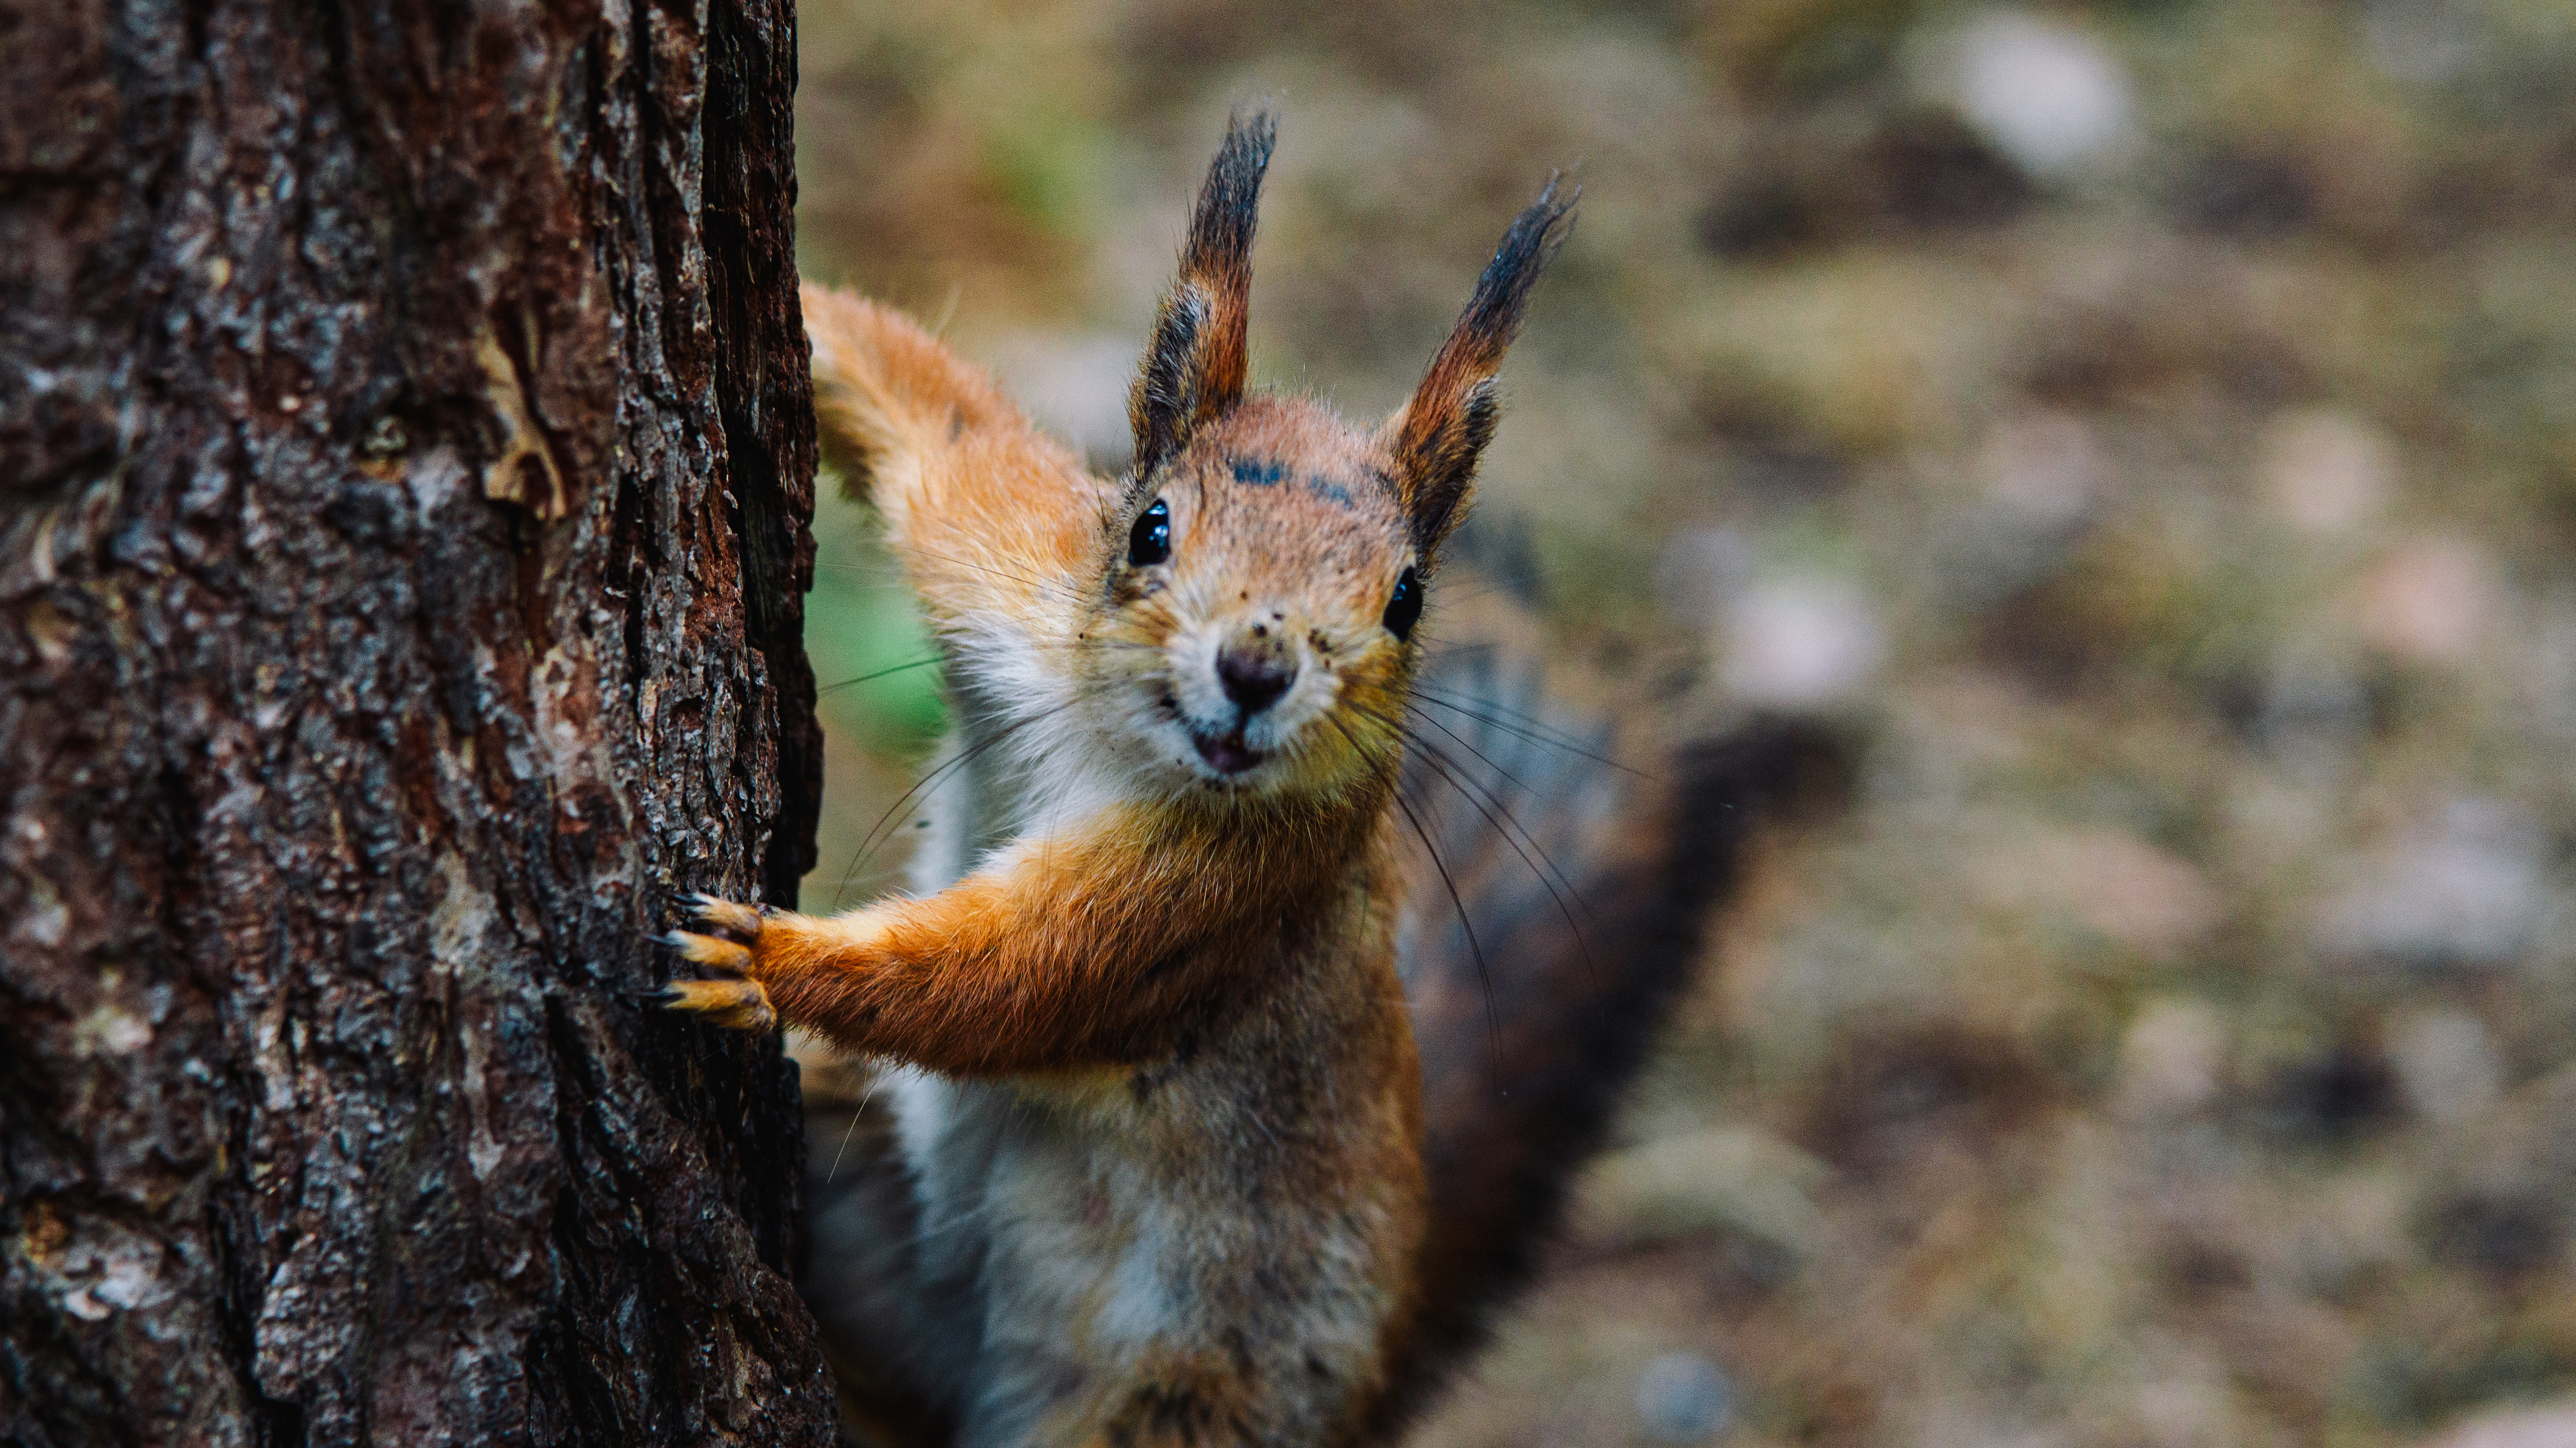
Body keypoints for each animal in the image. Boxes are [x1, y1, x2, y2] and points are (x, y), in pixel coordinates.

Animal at [659, 107, 1834, 1432]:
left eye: (1408, 597)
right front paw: (807, 311)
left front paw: (767, 961)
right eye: (1151, 526)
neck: (1117, 733)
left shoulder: (1219, 895)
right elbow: (933, 411)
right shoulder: (999, 549)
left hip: (1181, 1404)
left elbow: (1010, 974)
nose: (1257, 664)